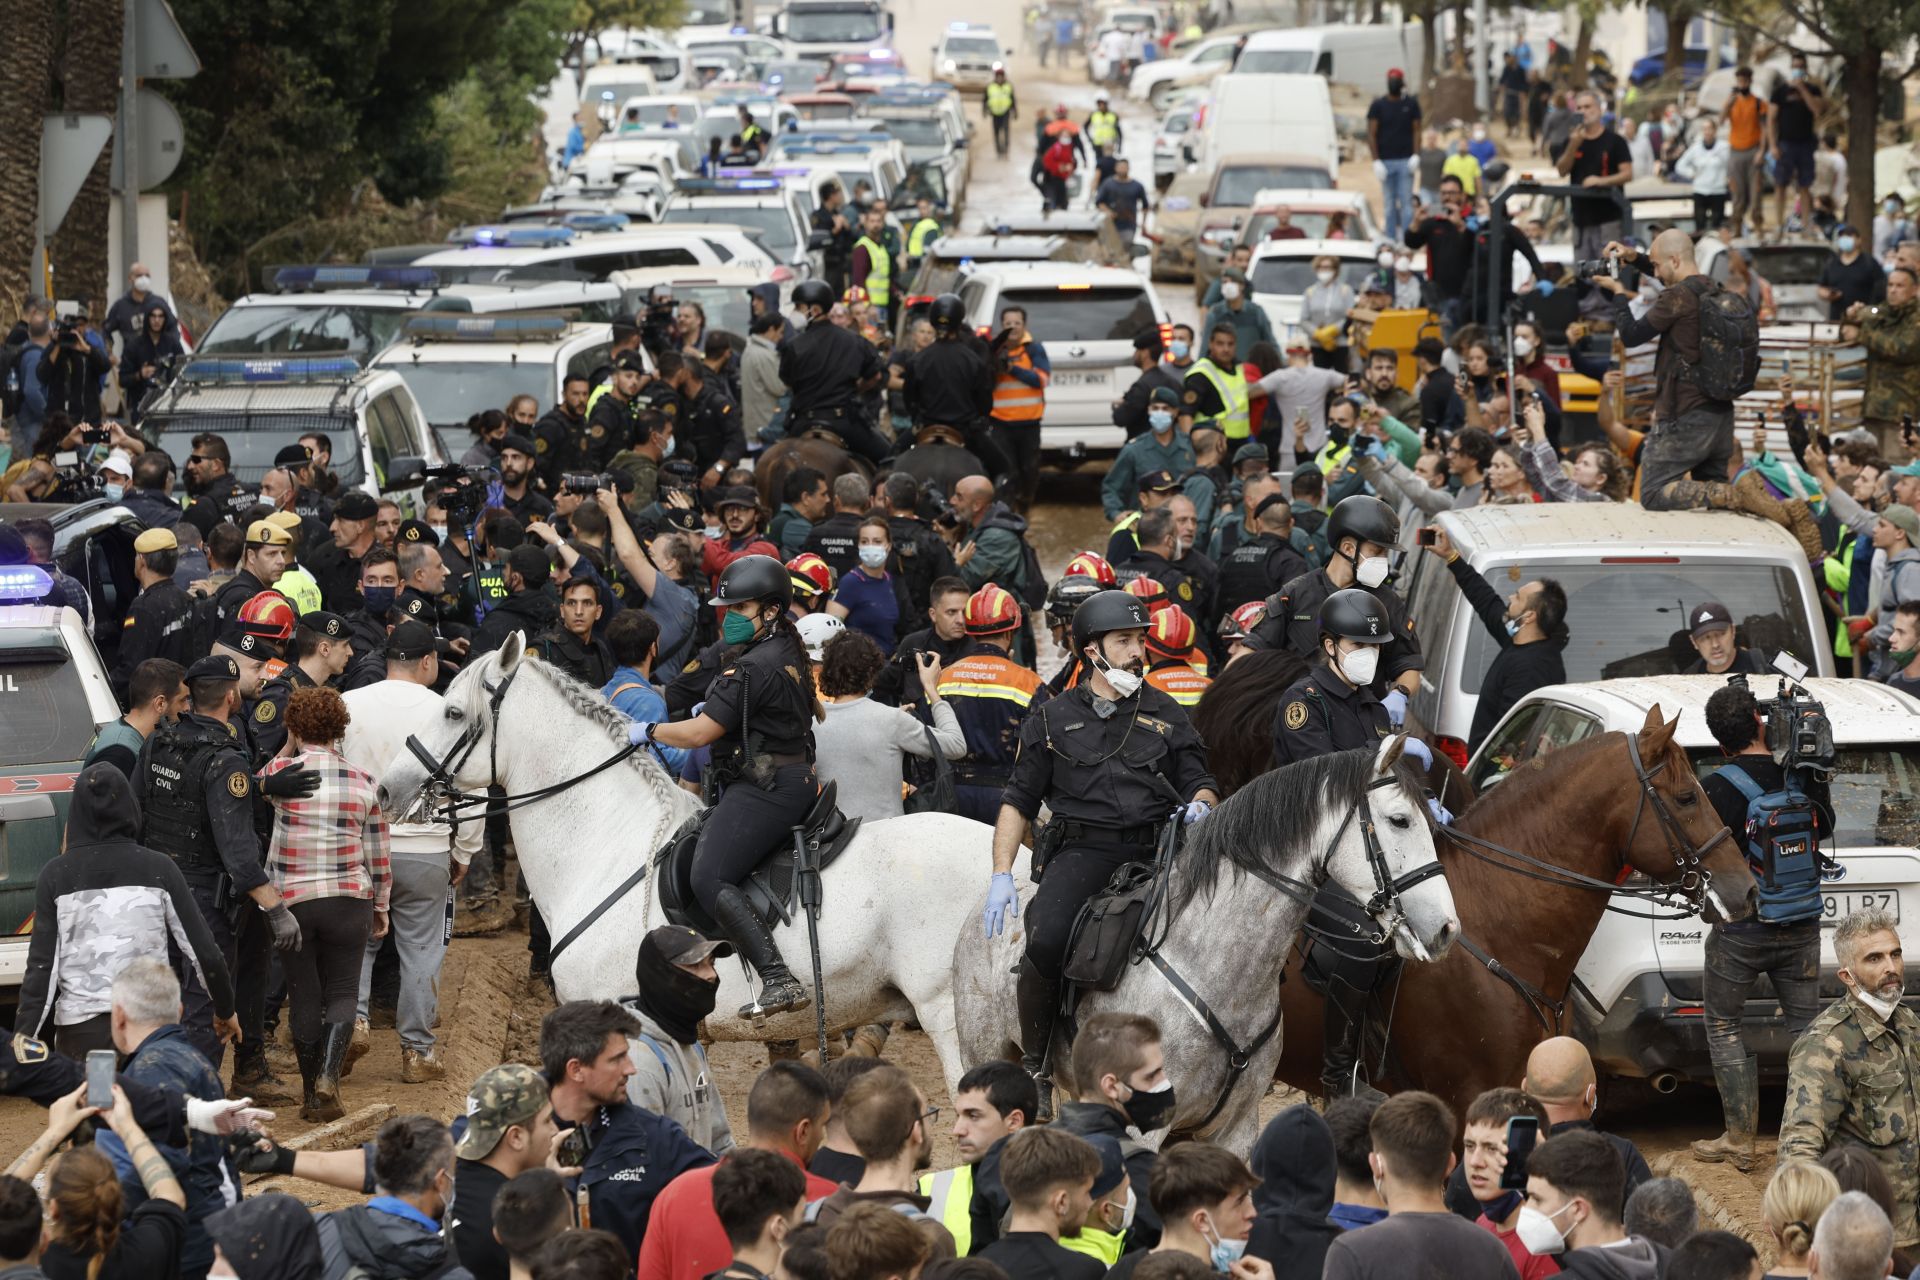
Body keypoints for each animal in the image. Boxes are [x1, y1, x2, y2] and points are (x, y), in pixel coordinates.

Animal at [952, 736, 1459, 1159]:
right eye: (1399, 820)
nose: (1447, 929)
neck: (1217, 969)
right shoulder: (1144, 1128)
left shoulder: (1234, 1130)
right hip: (989, 1059)